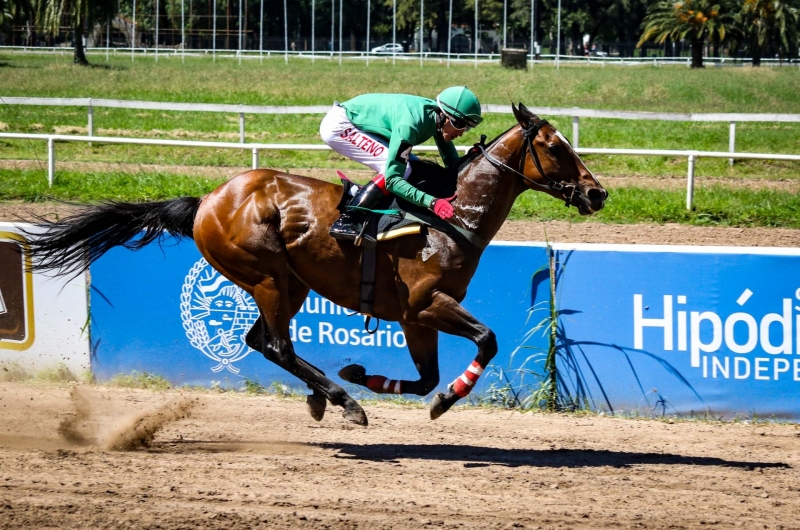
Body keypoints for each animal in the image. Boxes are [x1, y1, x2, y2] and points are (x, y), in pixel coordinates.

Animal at [25, 103, 608, 424]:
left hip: (292, 282)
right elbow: (486, 341)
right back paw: (343, 401)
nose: (597, 193)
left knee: (260, 341)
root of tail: (207, 200)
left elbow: (425, 378)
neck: (452, 213)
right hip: (265, 273)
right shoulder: (427, 304)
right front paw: (446, 400)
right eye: (556, 147)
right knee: (277, 345)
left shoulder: (414, 316)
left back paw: (327, 392)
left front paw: (365, 372)